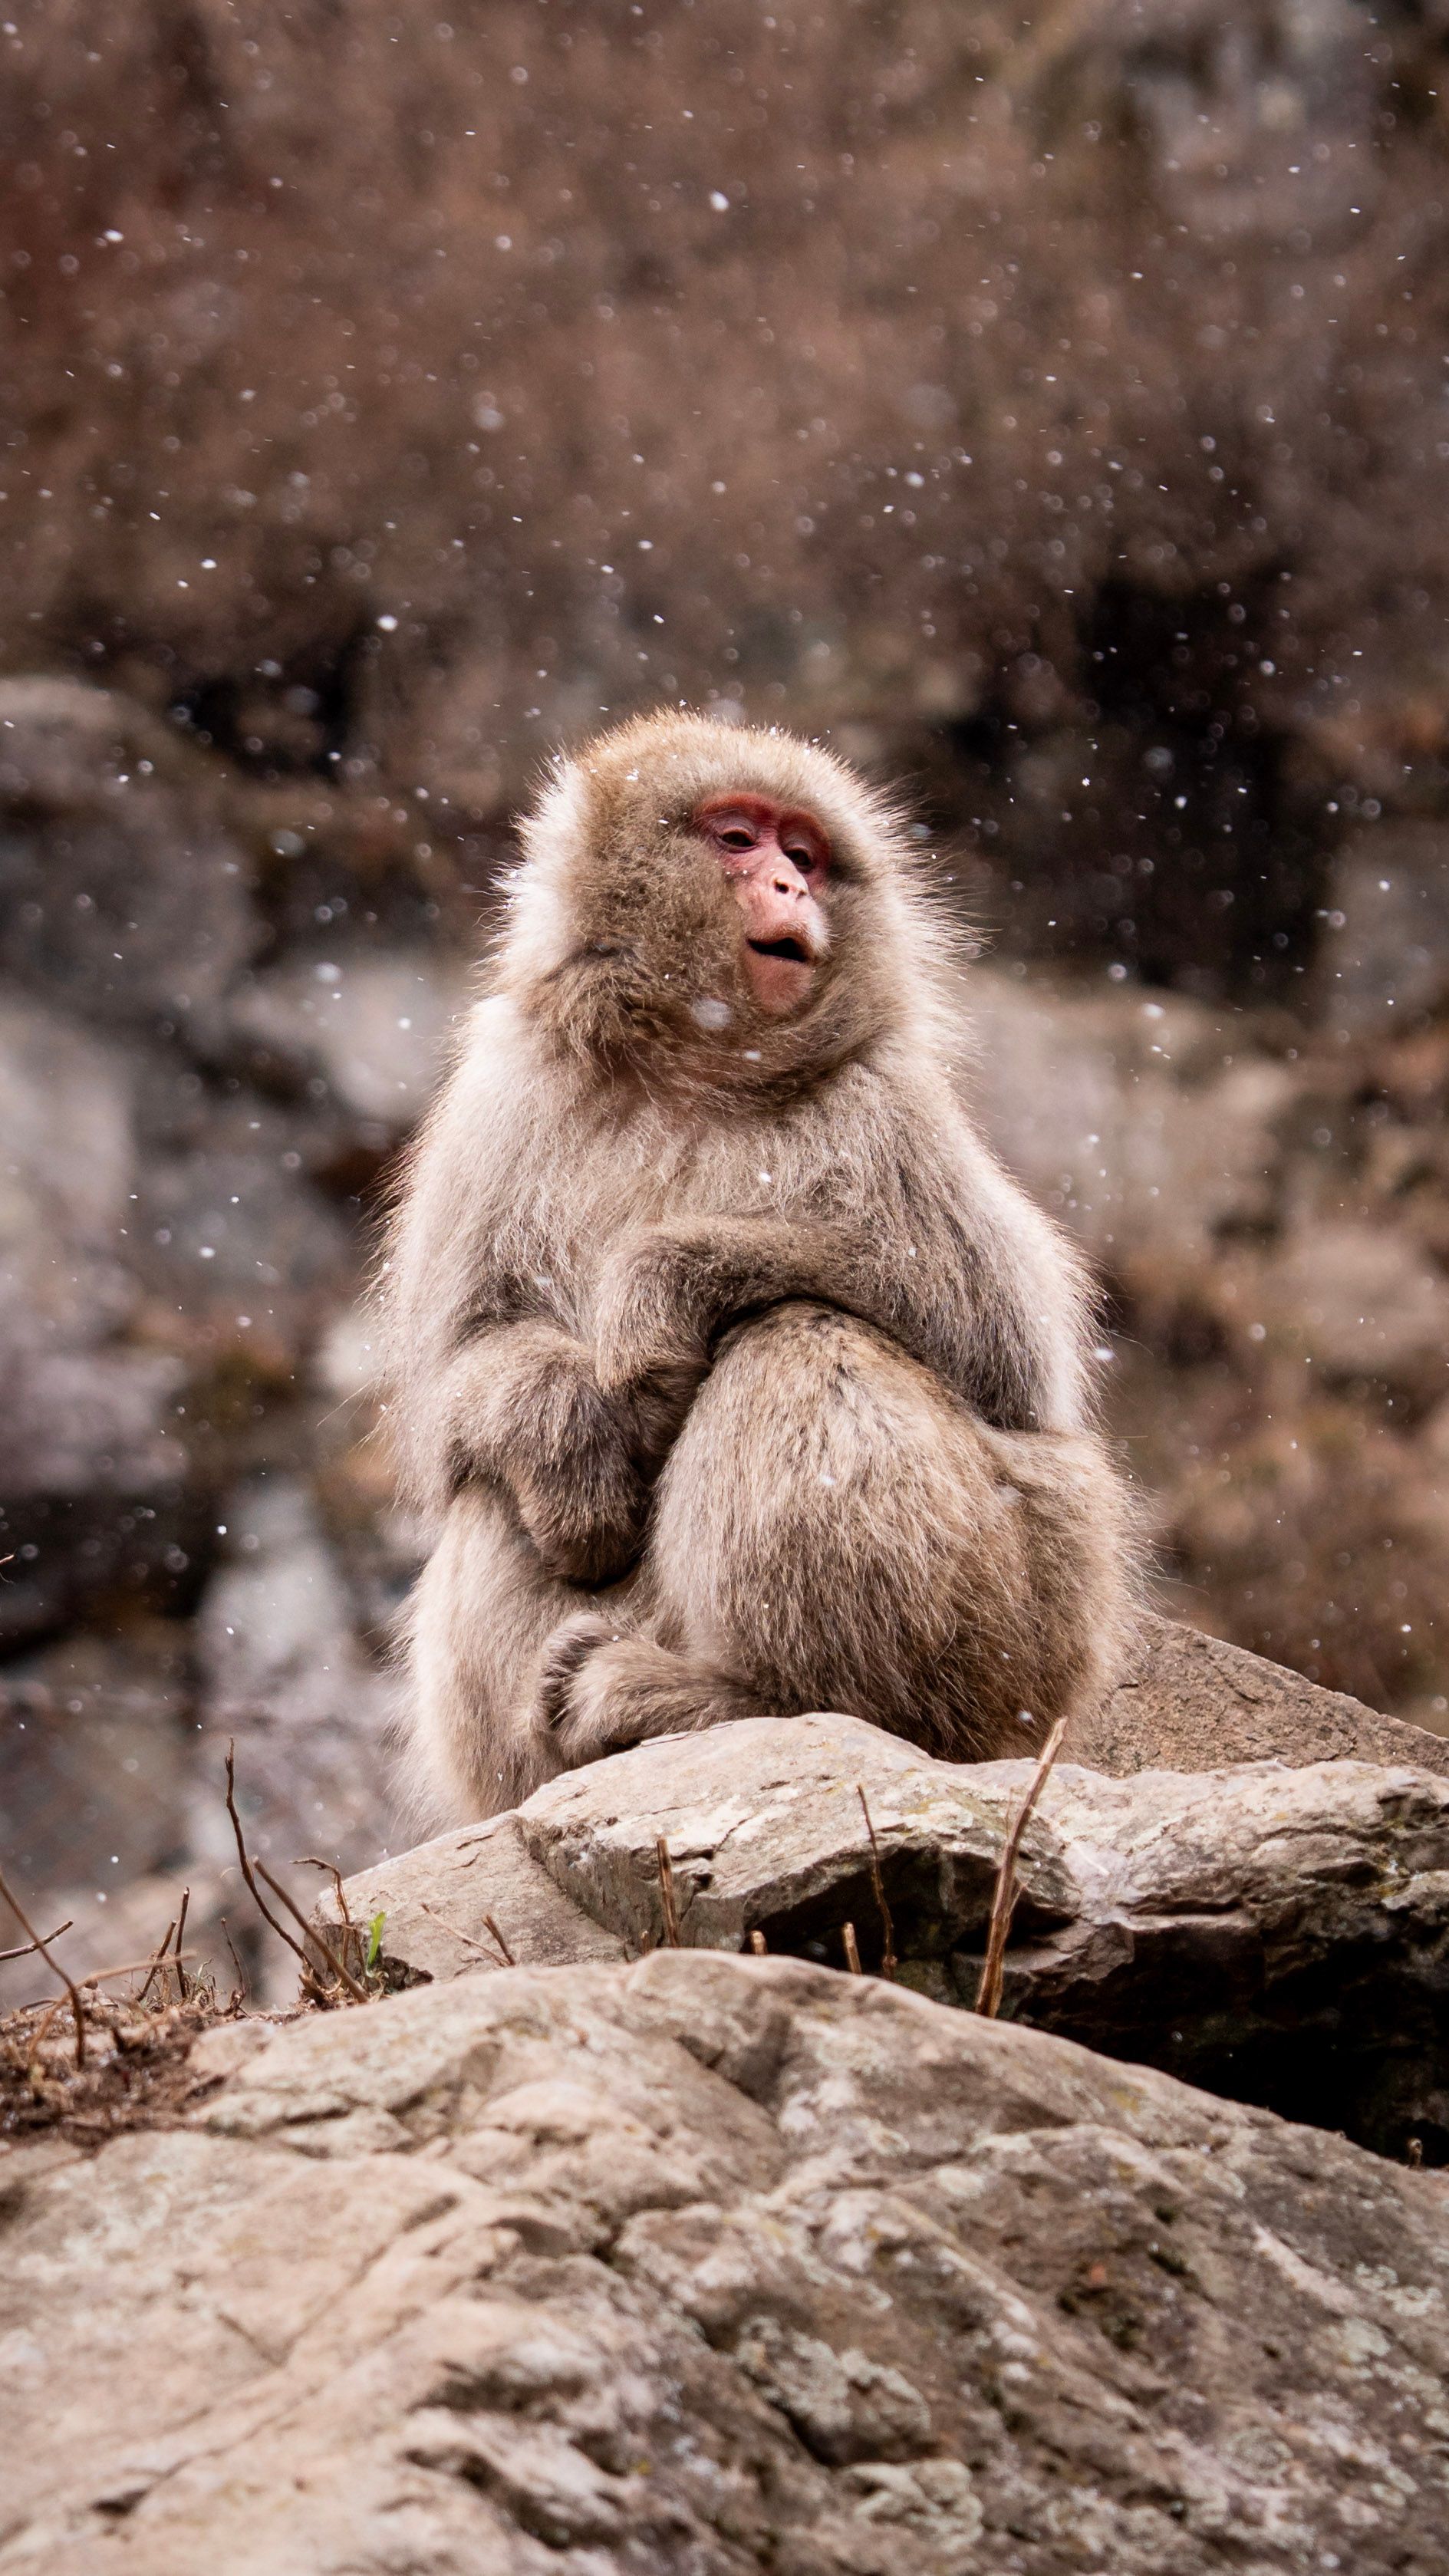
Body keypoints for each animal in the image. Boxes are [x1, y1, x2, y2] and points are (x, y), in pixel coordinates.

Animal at [379, 710, 1132, 1825]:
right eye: (736, 839)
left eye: (805, 854)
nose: (787, 885)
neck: (693, 1065)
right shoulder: (501, 1087)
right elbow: (462, 1365)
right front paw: (571, 1434)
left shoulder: (882, 1097)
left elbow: (993, 1332)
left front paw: (659, 1280)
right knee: (493, 1485)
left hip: (1031, 1626)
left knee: (797, 1336)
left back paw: (751, 1702)